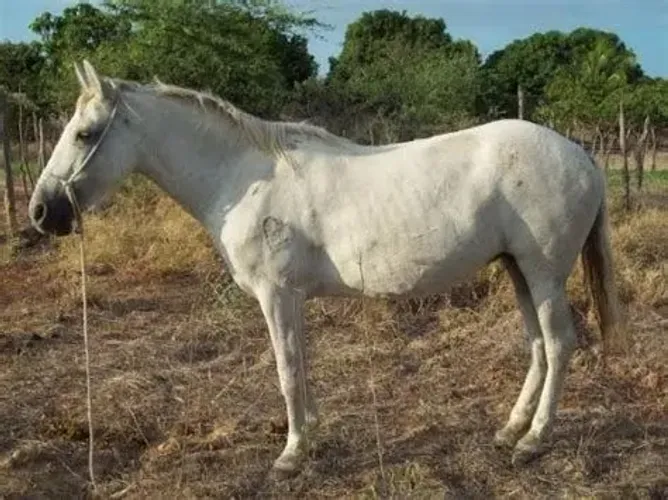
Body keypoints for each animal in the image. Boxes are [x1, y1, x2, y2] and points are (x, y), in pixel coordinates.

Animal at [28, 60, 623, 475]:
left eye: (84, 133)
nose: (41, 211)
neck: (244, 177)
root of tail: (581, 154)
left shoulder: (277, 295)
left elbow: (288, 370)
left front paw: (292, 454)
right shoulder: (289, 299)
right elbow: (300, 366)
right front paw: (309, 437)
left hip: (544, 273)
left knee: (560, 344)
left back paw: (533, 441)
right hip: (518, 269)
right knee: (538, 346)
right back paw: (510, 429)